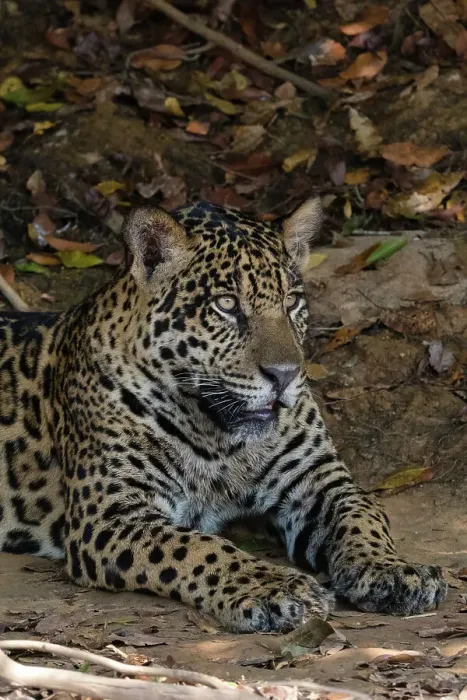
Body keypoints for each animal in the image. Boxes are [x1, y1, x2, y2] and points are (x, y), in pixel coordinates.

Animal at [0, 197, 447, 633]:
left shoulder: (318, 479)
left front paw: (394, 571)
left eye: (291, 301)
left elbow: (362, 515)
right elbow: (199, 547)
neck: (219, 436)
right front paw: (276, 587)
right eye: (227, 305)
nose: (285, 375)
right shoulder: (110, 513)